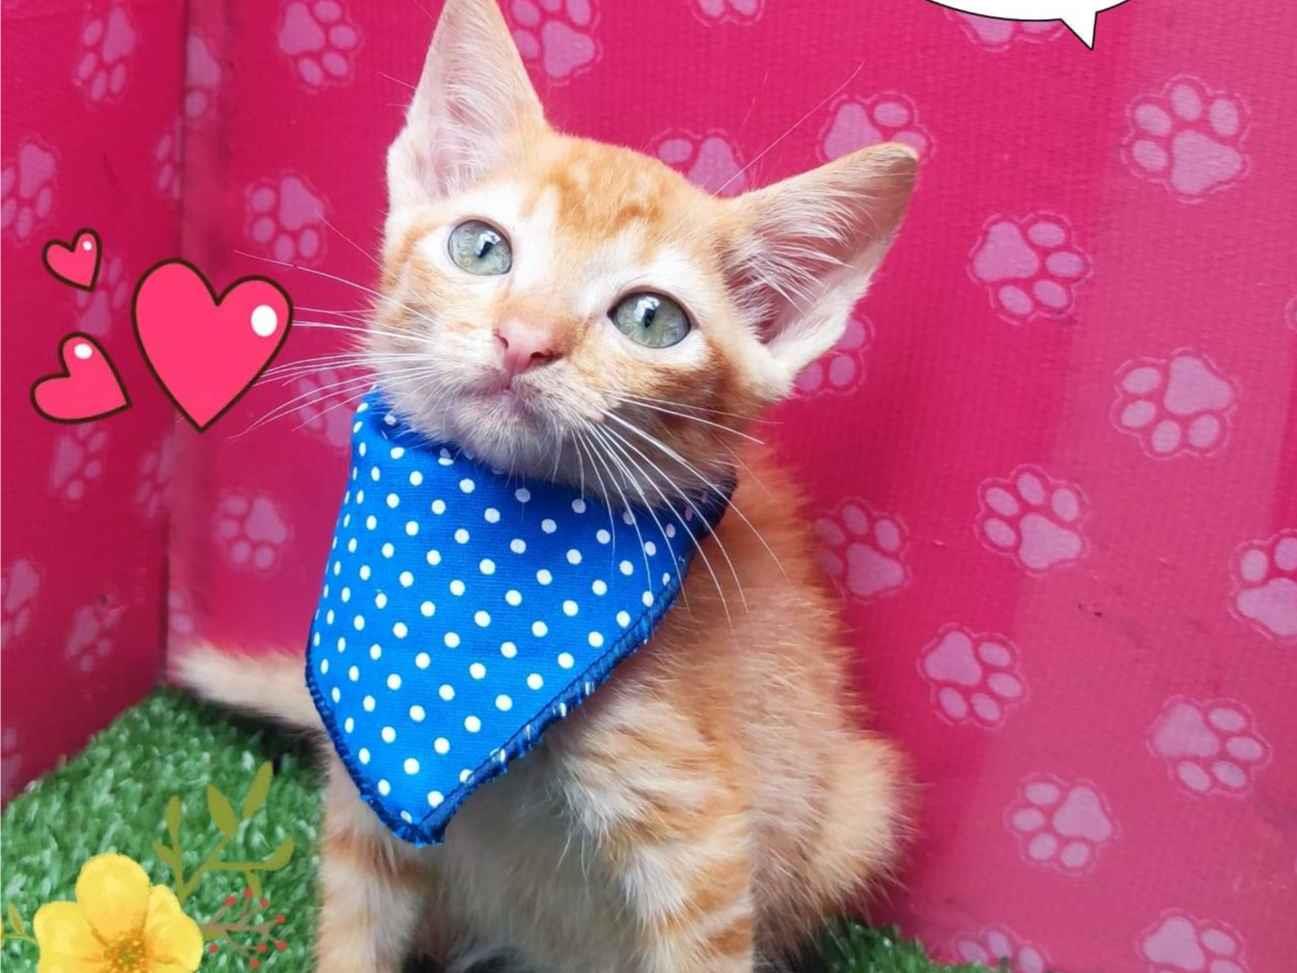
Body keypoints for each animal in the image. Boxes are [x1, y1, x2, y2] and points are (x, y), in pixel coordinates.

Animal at [173, 0, 918, 970]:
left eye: (652, 319)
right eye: (480, 248)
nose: (523, 340)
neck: (492, 553)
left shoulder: (701, 848)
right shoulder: (366, 793)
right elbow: (353, 928)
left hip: (855, 806)